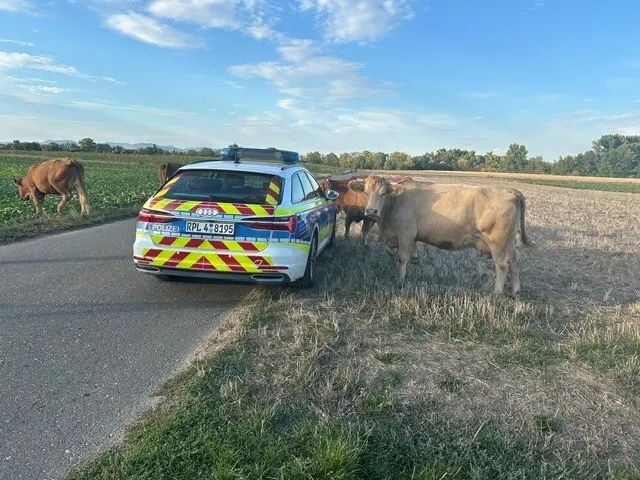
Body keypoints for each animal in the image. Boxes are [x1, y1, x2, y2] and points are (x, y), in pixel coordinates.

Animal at [348, 176, 534, 295]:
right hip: (509, 241)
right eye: (365, 192)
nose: (371, 211)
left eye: (383, 194)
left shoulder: (406, 233)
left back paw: (496, 293)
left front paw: (399, 280)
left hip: (497, 242)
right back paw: (515, 290)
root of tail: (509, 190)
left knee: (502, 264)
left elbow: (401, 258)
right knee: (515, 261)